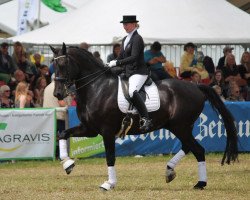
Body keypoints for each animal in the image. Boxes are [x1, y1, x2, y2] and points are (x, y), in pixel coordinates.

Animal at [49, 43, 237, 191]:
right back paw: (170, 171)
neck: (97, 87)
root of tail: (196, 87)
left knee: (198, 150)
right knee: (189, 147)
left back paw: (200, 183)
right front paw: (68, 164)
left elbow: (110, 157)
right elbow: (62, 134)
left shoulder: (107, 131)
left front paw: (109, 184)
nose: (58, 94)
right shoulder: (89, 129)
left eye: (63, 64)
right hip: (178, 127)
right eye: (53, 65)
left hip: (181, 126)